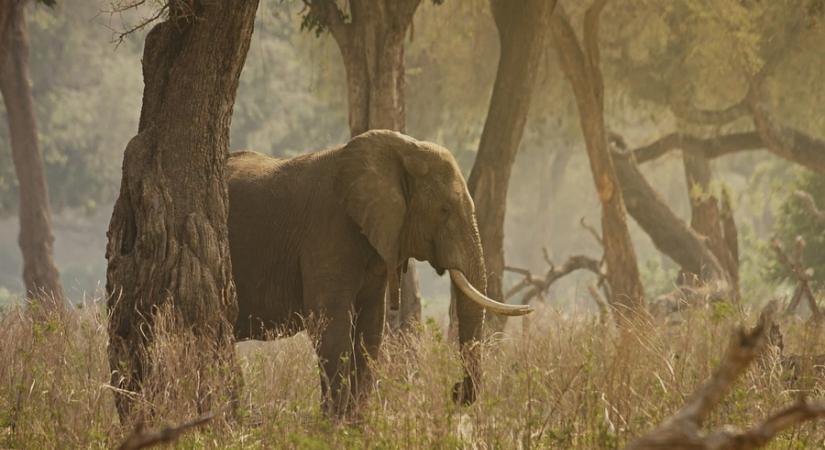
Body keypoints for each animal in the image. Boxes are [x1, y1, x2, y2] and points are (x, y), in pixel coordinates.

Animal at [229, 128, 532, 416]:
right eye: (444, 210)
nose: (457, 391)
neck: (403, 150)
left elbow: (371, 325)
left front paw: (354, 422)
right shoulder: (326, 231)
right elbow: (329, 324)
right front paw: (332, 424)